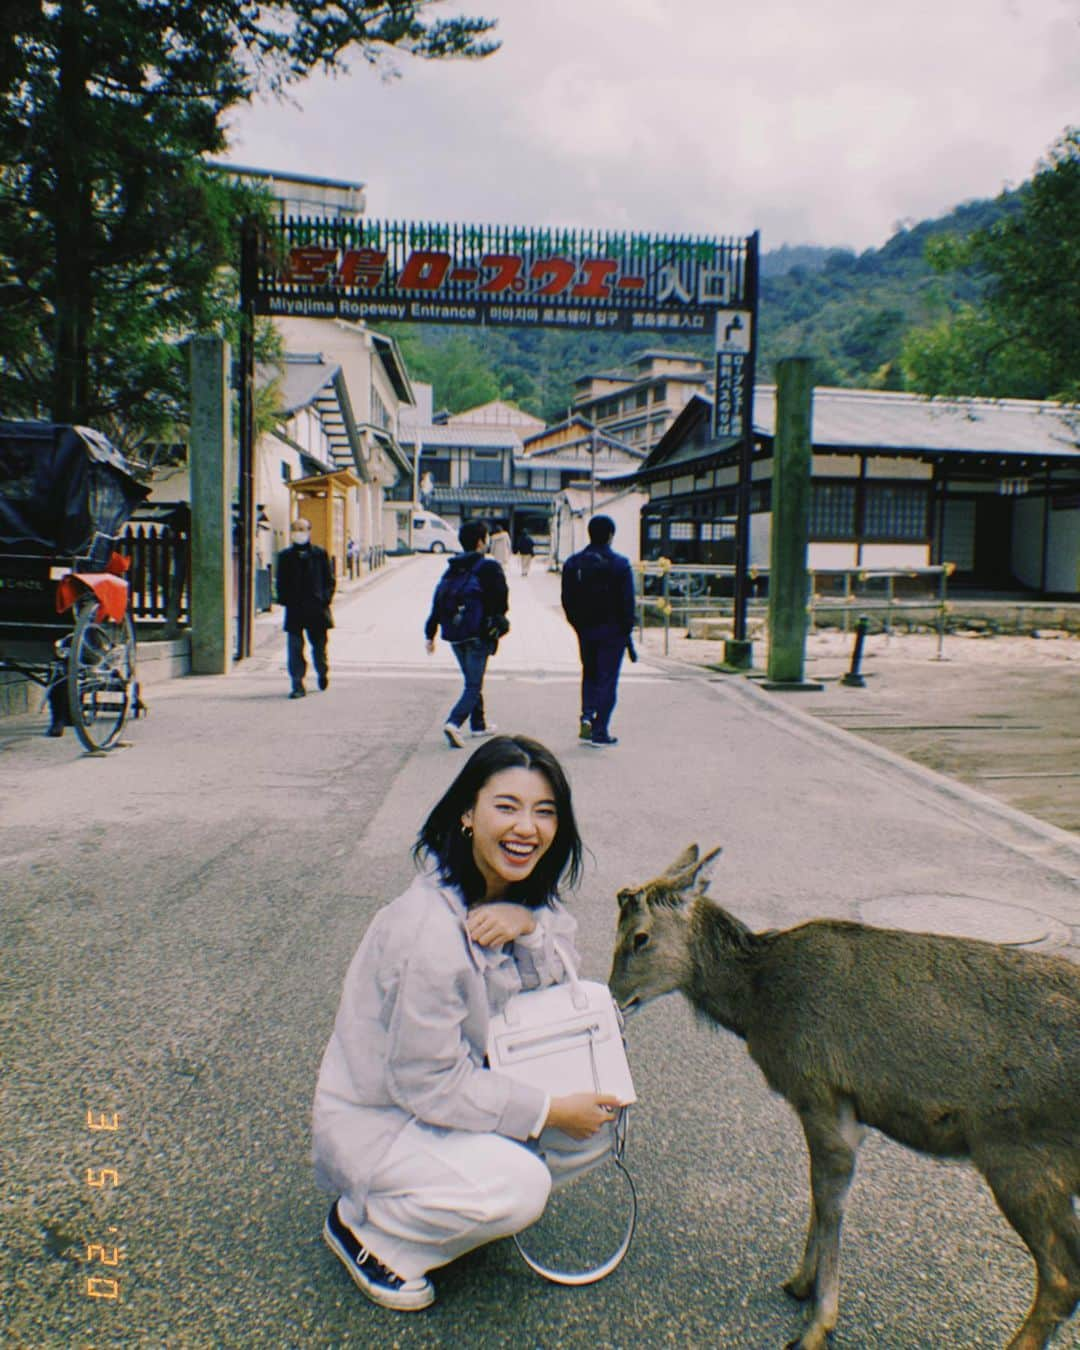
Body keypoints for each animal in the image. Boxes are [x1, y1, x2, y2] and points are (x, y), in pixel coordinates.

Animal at [607, 842, 1080, 1350]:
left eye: (639, 937)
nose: (614, 996)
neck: (757, 1004)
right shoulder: (853, 1112)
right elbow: (823, 1196)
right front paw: (801, 1283)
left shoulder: (818, 1090)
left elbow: (828, 1195)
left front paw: (817, 1321)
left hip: (1021, 1158)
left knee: (1062, 1277)